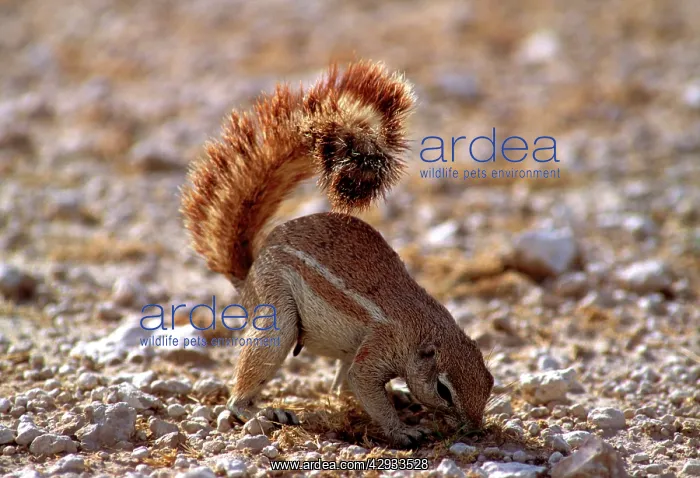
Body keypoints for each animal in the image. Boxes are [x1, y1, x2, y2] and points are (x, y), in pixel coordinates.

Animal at [180, 60, 494, 448]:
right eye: (444, 390)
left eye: (490, 382)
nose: (475, 430)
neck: (422, 328)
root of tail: (250, 272)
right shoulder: (379, 346)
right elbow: (364, 384)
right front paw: (403, 430)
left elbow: (352, 385)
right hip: (277, 314)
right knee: (243, 391)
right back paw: (263, 412)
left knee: (340, 384)